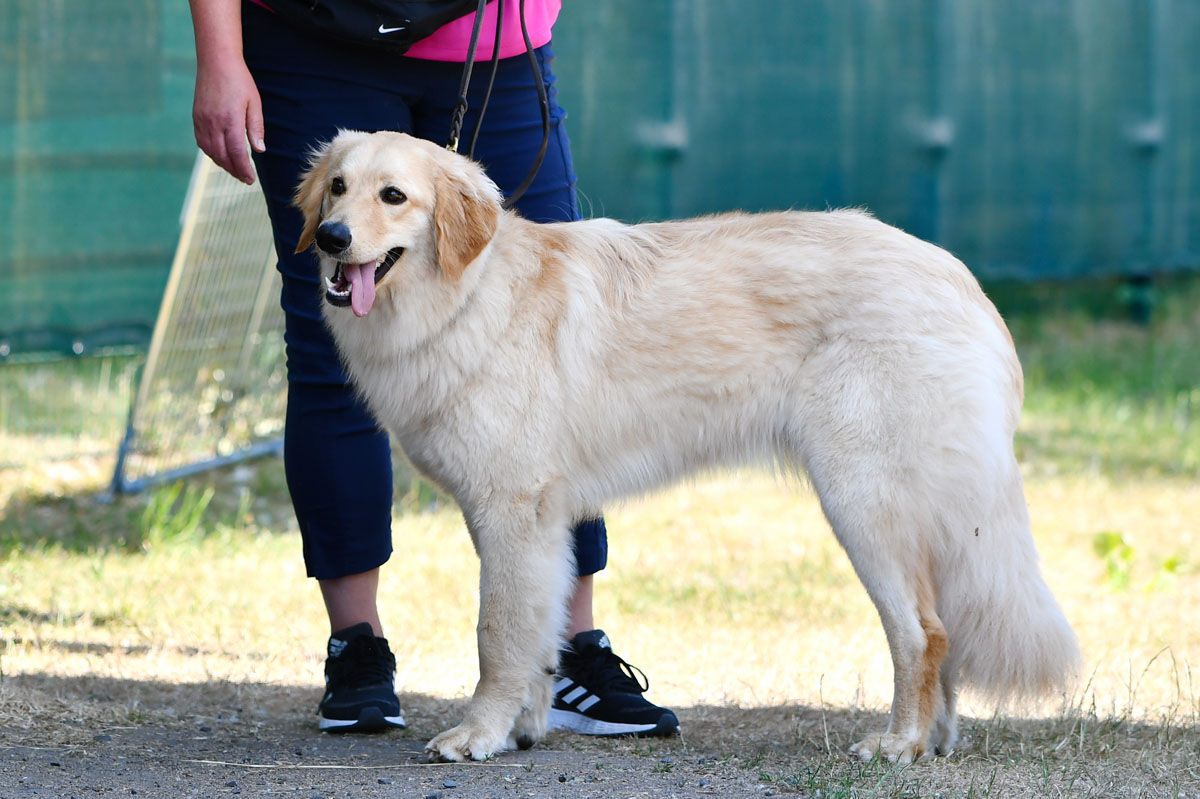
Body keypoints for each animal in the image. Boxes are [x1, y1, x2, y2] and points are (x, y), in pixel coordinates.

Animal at [295, 128, 1084, 758]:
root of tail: (960, 282)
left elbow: (497, 633)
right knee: (942, 633)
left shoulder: (511, 514)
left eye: (393, 196)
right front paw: (521, 729)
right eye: (338, 187)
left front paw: (479, 735)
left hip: (862, 504)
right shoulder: (536, 527)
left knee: (924, 632)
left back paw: (900, 744)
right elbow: (537, 636)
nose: (332, 238)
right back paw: (935, 741)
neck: (469, 297)